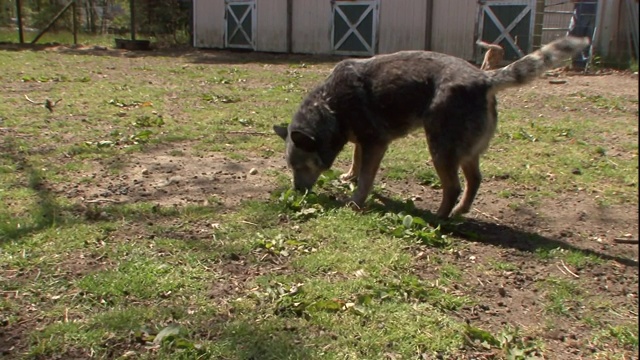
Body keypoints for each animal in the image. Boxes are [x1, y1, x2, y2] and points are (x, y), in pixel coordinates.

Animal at [274, 35, 592, 218]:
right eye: (291, 167)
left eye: (301, 166)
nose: (297, 191)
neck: (330, 106)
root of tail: (484, 79)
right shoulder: (362, 140)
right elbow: (356, 158)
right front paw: (349, 175)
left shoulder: (376, 143)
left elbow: (366, 179)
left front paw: (356, 200)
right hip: (466, 151)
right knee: (475, 180)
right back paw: (461, 210)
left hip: (440, 149)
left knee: (453, 186)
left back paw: (439, 216)